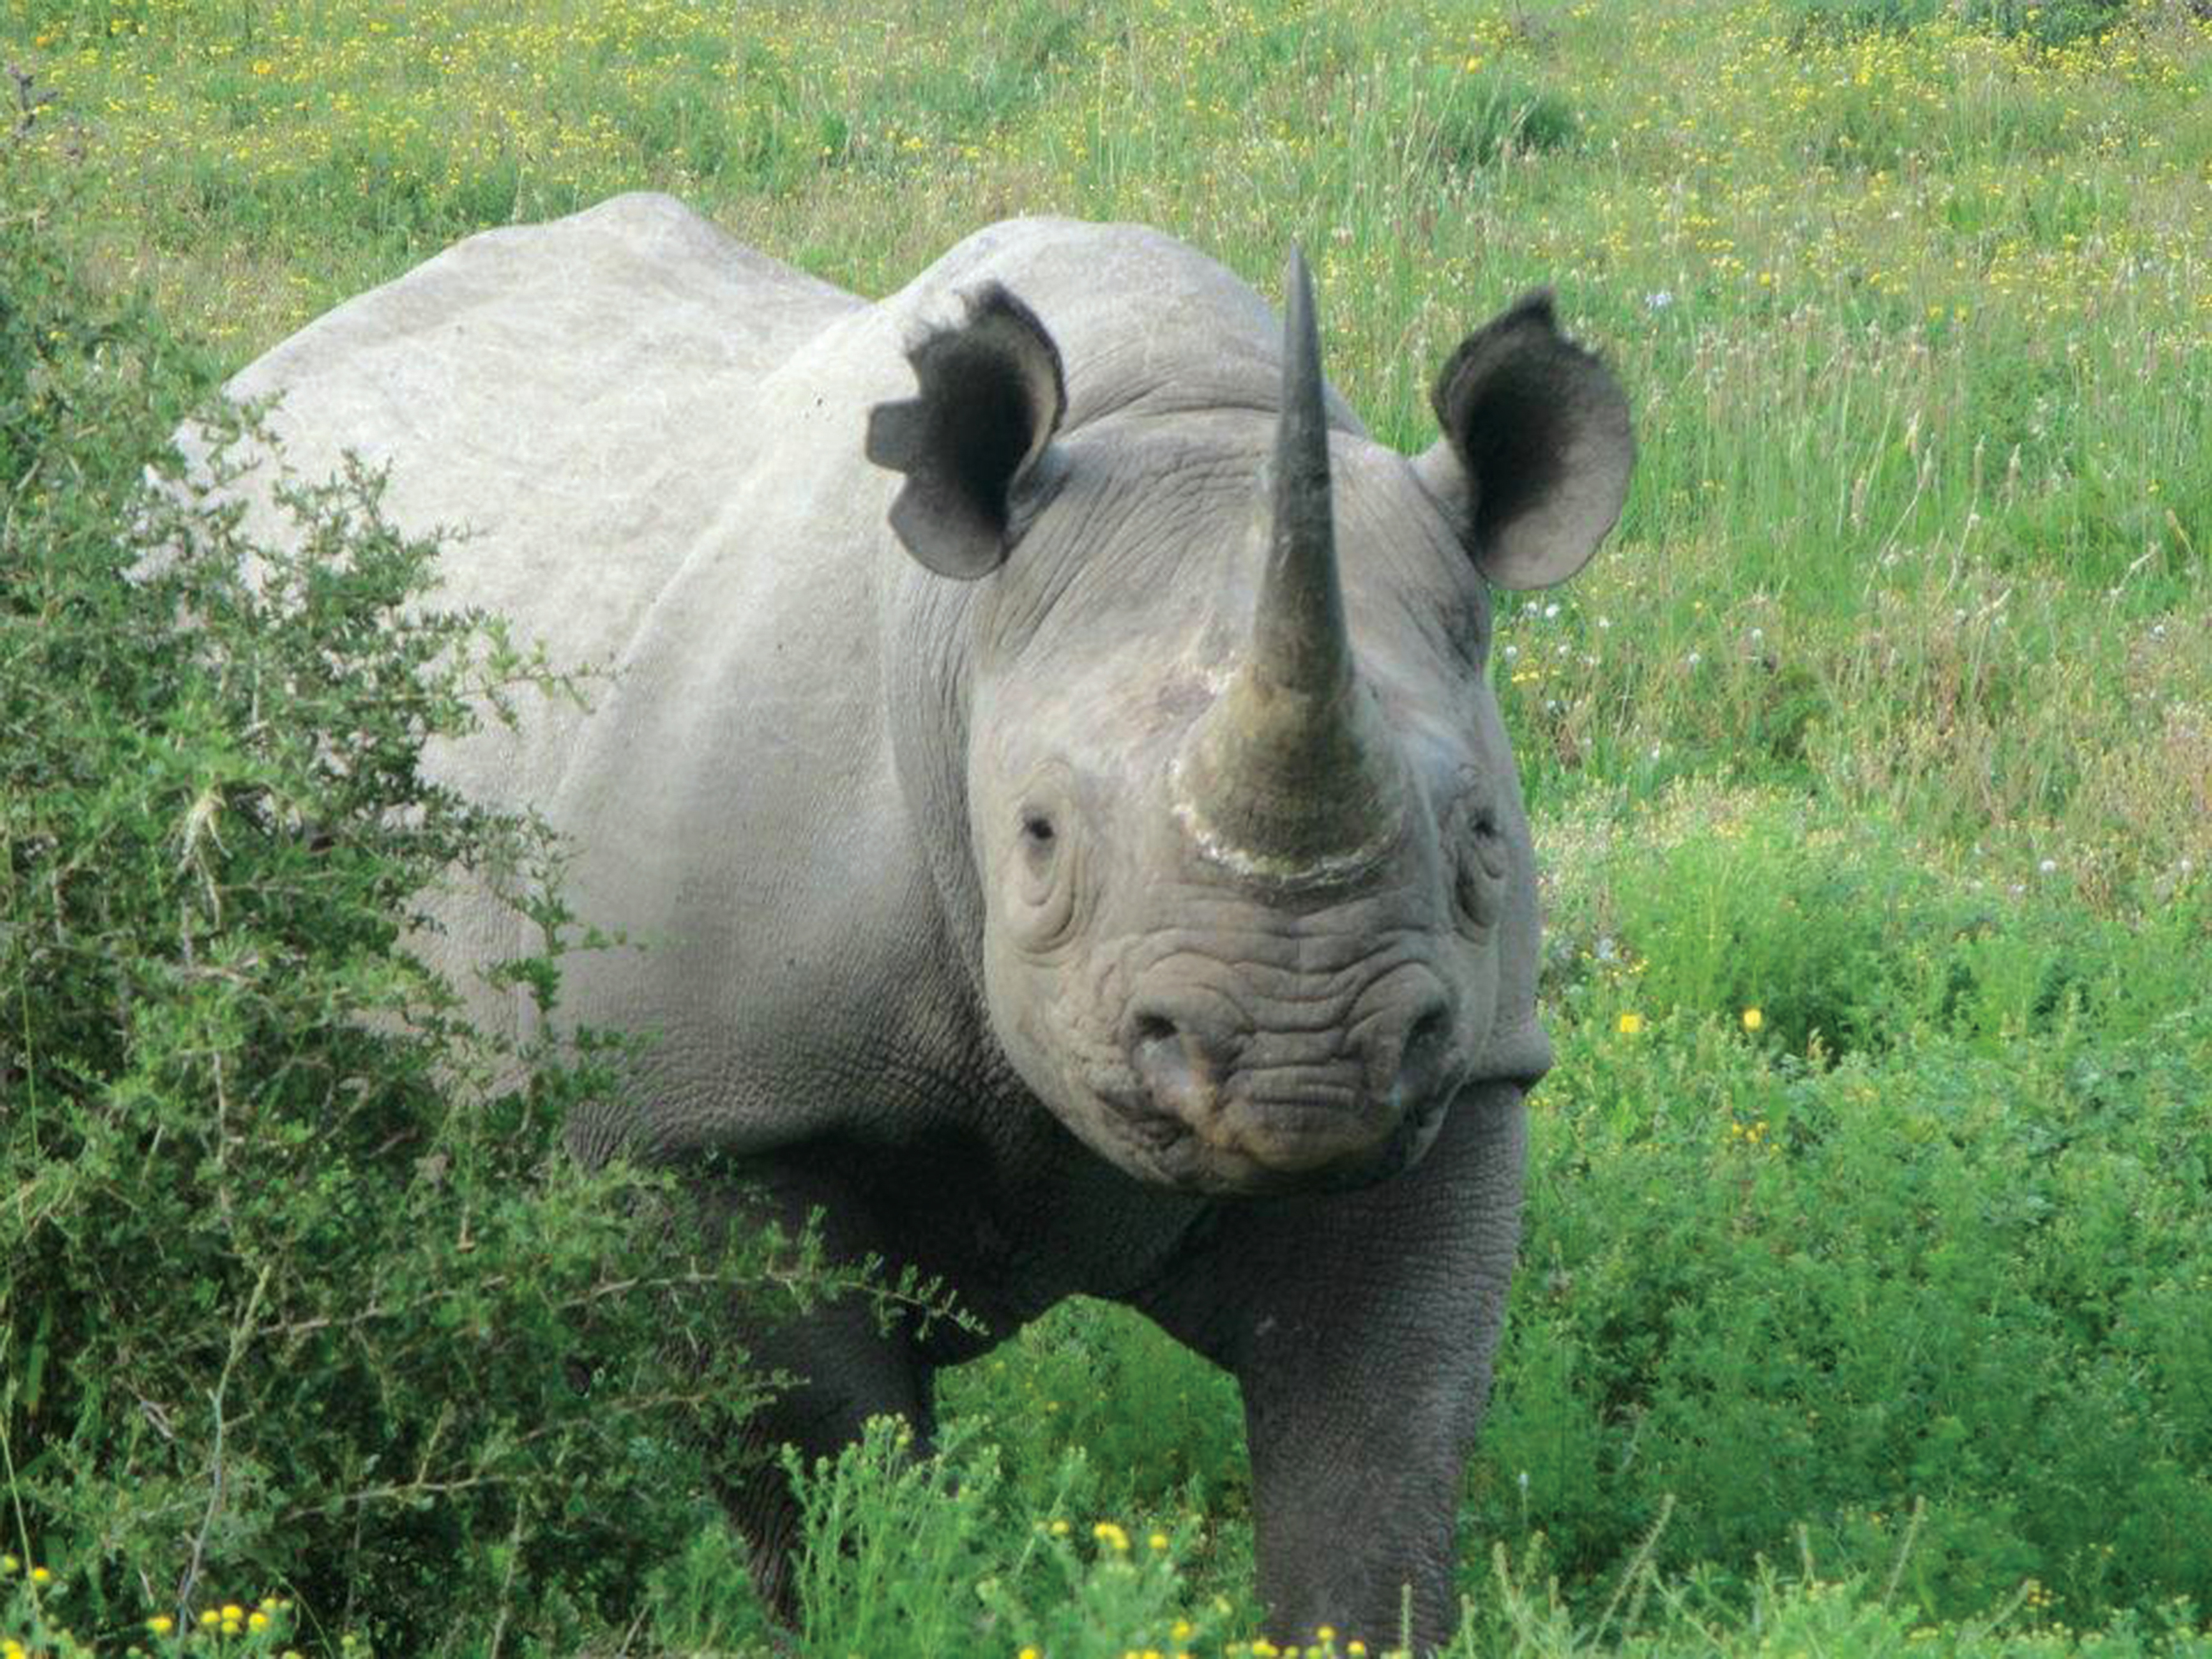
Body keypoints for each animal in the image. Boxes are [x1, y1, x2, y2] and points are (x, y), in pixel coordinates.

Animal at [213, 193, 1632, 1648]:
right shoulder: (713, 1120)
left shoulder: (1463, 1075)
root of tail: (261, 373)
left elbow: (1373, 1471)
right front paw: (888, 1599)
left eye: (1481, 841)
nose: (1302, 1066)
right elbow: (826, 1479)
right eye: (1040, 838)